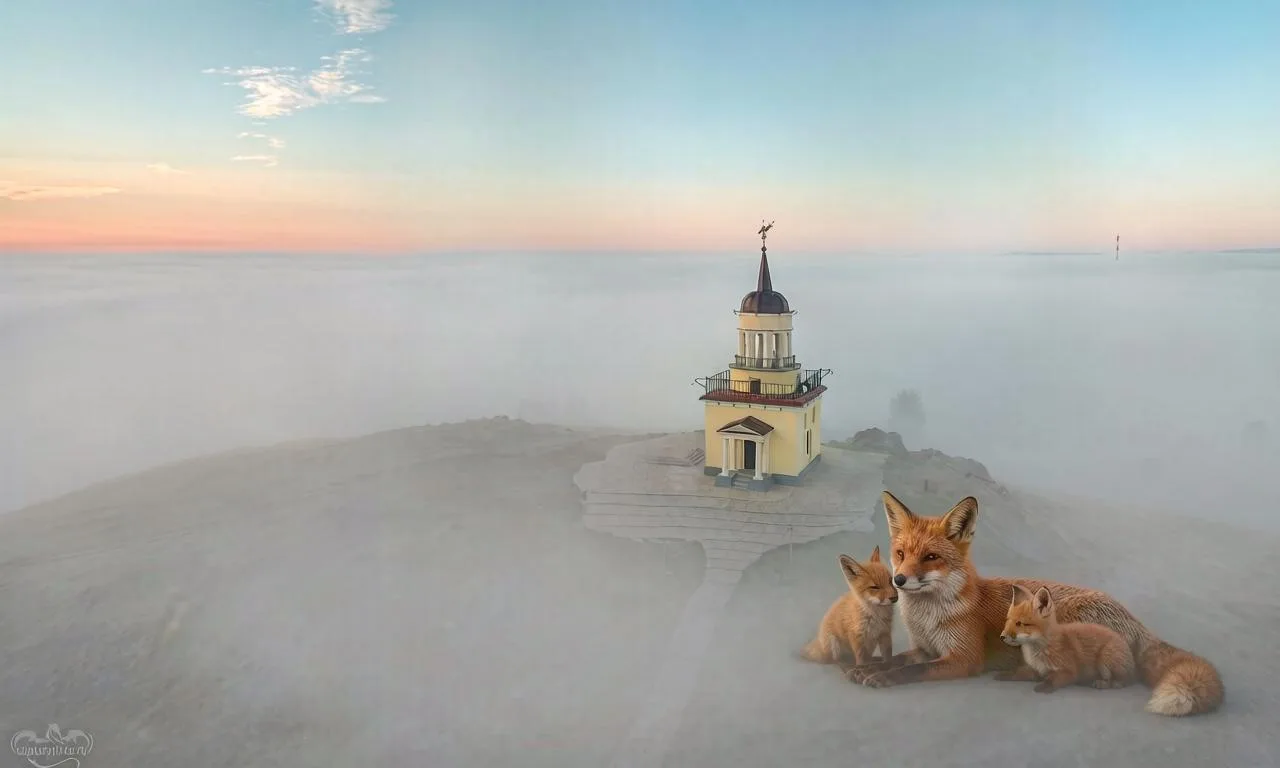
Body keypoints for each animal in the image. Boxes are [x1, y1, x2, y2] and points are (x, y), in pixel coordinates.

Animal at [998, 583, 1136, 693]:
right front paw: (1004, 674)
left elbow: (1053, 680)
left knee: (1123, 681)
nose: (1002, 637)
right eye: (1008, 621)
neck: (1038, 652)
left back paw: (1101, 683)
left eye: (1020, 623)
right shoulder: (1036, 670)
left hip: (1105, 659)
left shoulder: (1069, 671)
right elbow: (1018, 672)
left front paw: (1044, 687)